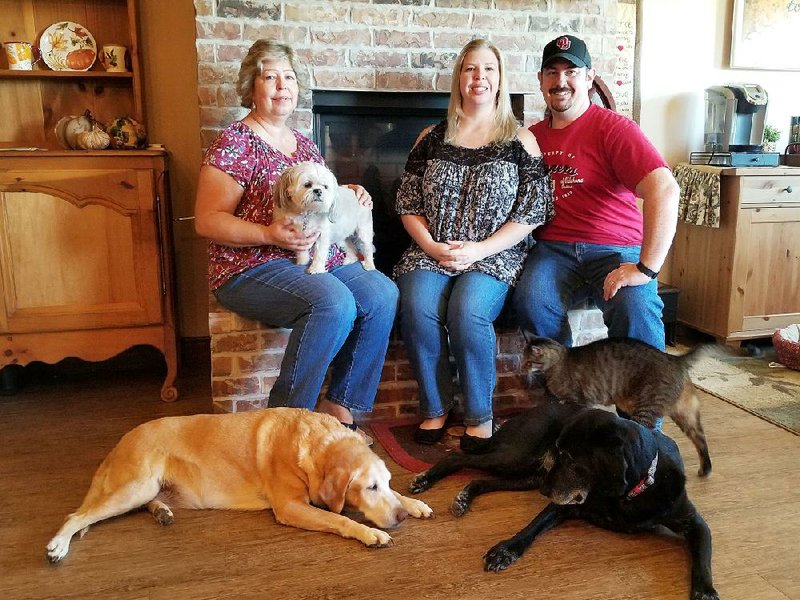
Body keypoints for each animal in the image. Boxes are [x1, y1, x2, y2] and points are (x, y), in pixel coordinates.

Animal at [45, 408, 432, 564]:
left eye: (385, 482)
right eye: (369, 488)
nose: (400, 517)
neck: (314, 445)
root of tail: (121, 441)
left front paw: (412, 503)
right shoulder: (291, 507)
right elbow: (341, 518)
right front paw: (371, 533)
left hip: (145, 489)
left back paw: (163, 512)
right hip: (134, 485)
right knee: (75, 516)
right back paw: (58, 545)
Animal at [412, 404, 720, 600]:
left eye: (571, 460)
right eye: (560, 452)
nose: (546, 491)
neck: (629, 493)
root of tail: (528, 411)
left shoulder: (694, 522)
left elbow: (703, 560)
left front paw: (705, 592)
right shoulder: (562, 503)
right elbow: (532, 527)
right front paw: (506, 550)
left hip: (527, 475)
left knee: (482, 480)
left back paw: (464, 497)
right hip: (518, 458)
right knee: (459, 457)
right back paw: (426, 479)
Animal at [524, 336, 712, 476]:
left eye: (527, 362)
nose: (521, 368)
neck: (558, 363)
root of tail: (675, 358)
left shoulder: (578, 401)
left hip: (646, 411)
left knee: (649, 437)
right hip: (686, 415)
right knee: (700, 439)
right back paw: (706, 470)